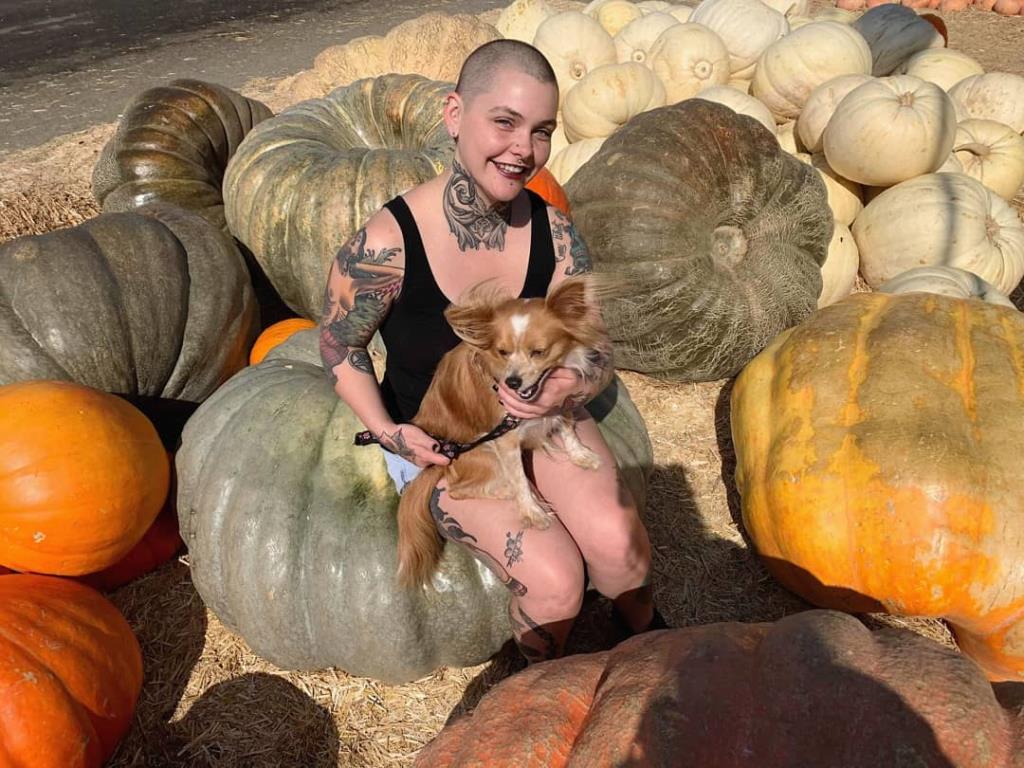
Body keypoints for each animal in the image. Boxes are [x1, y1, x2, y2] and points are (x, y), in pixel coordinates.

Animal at [396, 274, 612, 588]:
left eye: (539, 352)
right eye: (503, 352)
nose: (512, 381)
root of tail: (442, 459)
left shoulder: (559, 399)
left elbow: (568, 426)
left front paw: (580, 454)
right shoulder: (505, 440)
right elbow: (520, 479)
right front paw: (532, 510)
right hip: (485, 456)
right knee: (460, 490)